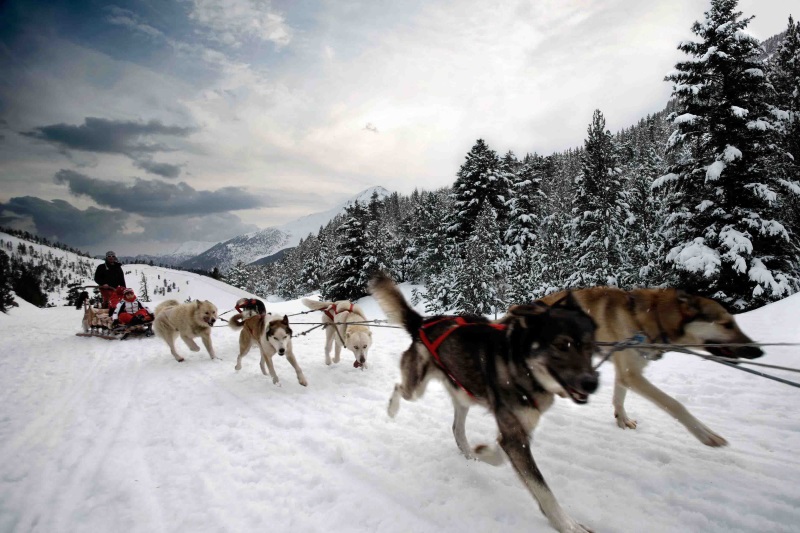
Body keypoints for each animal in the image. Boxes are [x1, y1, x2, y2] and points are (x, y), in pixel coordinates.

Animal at [368, 274, 592, 532]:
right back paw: (392, 409)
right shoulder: (514, 435)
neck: (521, 364)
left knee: (456, 429)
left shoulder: (517, 432)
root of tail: (423, 323)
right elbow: (541, 488)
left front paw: (484, 452)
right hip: (416, 388)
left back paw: (469, 454)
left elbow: (501, 452)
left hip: (463, 395)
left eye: (590, 346)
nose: (592, 382)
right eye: (562, 345)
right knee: (399, 388)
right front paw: (567, 525)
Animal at [536, 286, 764, 444]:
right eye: (727, 325)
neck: (649, 318)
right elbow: (674, 404)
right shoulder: (632, 375)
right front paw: (705, 434)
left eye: (734, 322)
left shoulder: (626, 372)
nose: (758, 351)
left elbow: (619, 398)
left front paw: (622, 420)